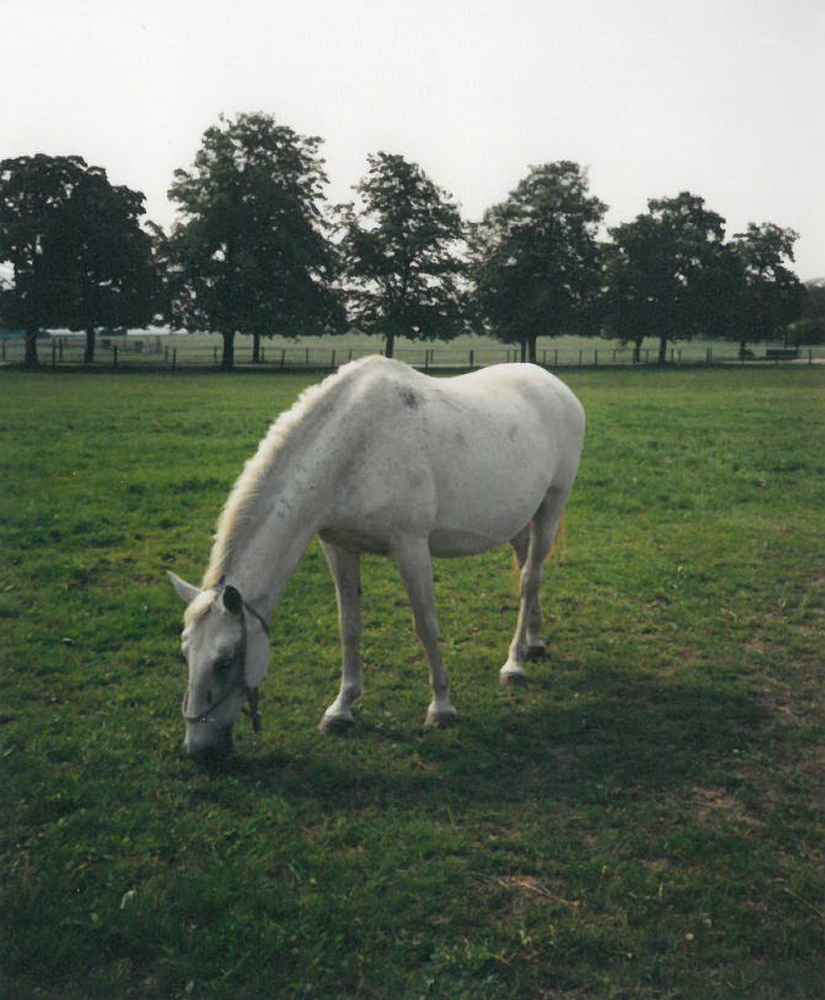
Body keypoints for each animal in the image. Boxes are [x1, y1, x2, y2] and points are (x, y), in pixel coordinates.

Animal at [168, 355, 585, 757]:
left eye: (224, 661)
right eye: (185, 654)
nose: (199, 750)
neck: (355, 448)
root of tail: (557, 387)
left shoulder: (411, 546)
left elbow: (425, 625)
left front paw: (442, 707)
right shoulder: (339, 546)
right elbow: (349, 626)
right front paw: (341, 709)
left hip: (552, 505)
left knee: (530, 579)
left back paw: (515, 664)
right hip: (519, 519)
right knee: (526, 571)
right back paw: (534, 642)